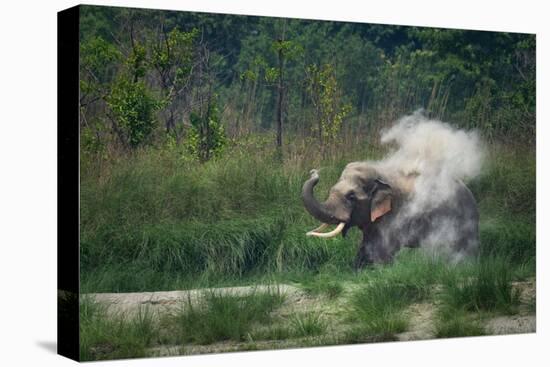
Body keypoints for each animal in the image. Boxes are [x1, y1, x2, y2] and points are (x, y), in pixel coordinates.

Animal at [304, 162, 480, 268]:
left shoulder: (395, 215)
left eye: (351, 197)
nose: (313, 171)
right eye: (331, 190)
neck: (381, 176)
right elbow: (366, 246)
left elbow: (383, 249)